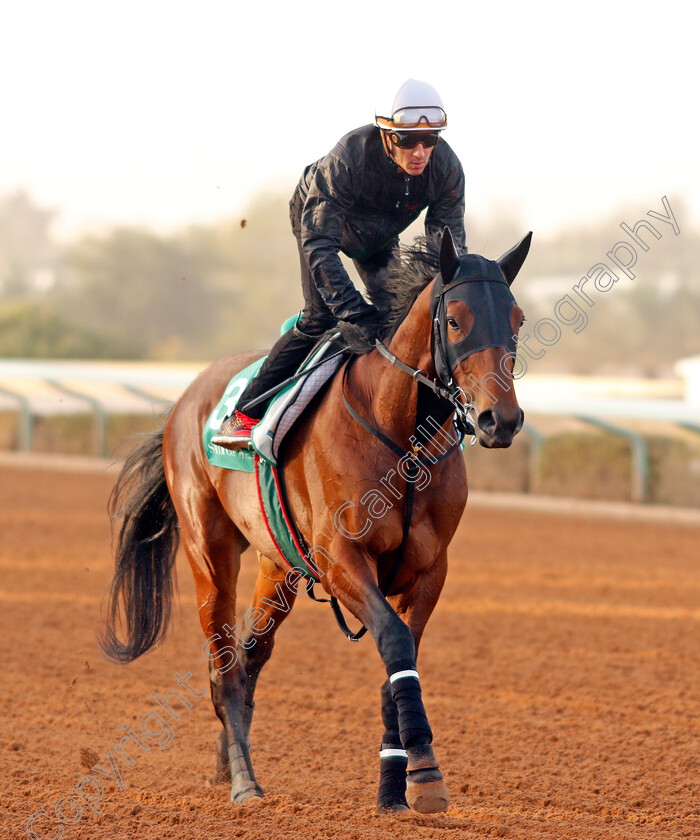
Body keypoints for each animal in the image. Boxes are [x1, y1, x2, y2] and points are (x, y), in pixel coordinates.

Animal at [102, 228, 532, 812]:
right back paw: (244, 783)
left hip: (277, 565)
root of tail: (187, 397)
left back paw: (226, 762)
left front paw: (395, 789)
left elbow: (402, 656)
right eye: (455, 320)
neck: (401, 438)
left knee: (249, 654)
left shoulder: (429, 571)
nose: (499, 420)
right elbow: (394, 641)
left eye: (517, 319)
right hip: (209, 553)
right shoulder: (341, 558)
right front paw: (425, 772)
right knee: (224, 664)